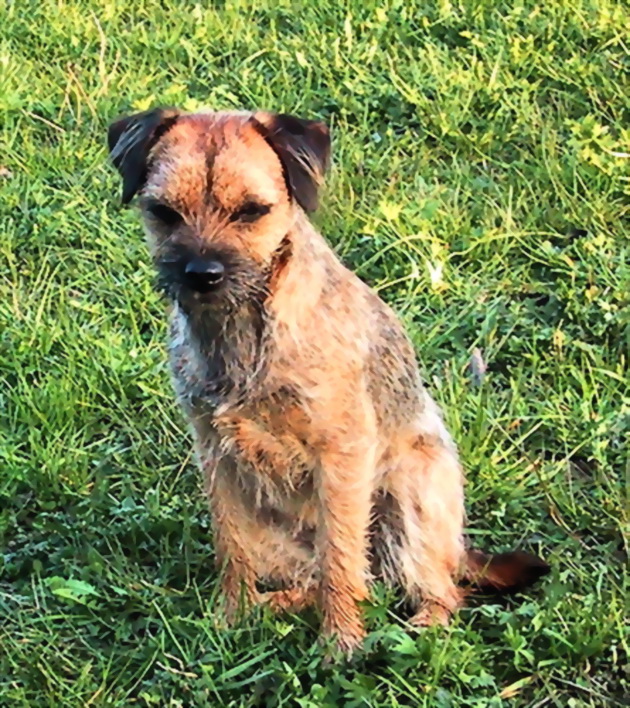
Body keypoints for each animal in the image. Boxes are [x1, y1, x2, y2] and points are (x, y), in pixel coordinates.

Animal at [106, 108, 552, 656]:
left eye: (252, 211)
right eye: (164, 212)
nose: (201, 273)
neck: (243, 332)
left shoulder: (340, 452)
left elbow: (341, 555)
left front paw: (341, 645)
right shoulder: (217, 457)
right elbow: (231, 549)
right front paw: (231, 620)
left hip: (411, 497)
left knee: (430, 585)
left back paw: (422, 626)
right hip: (275, 533)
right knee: (319, 578)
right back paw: (273, 606)